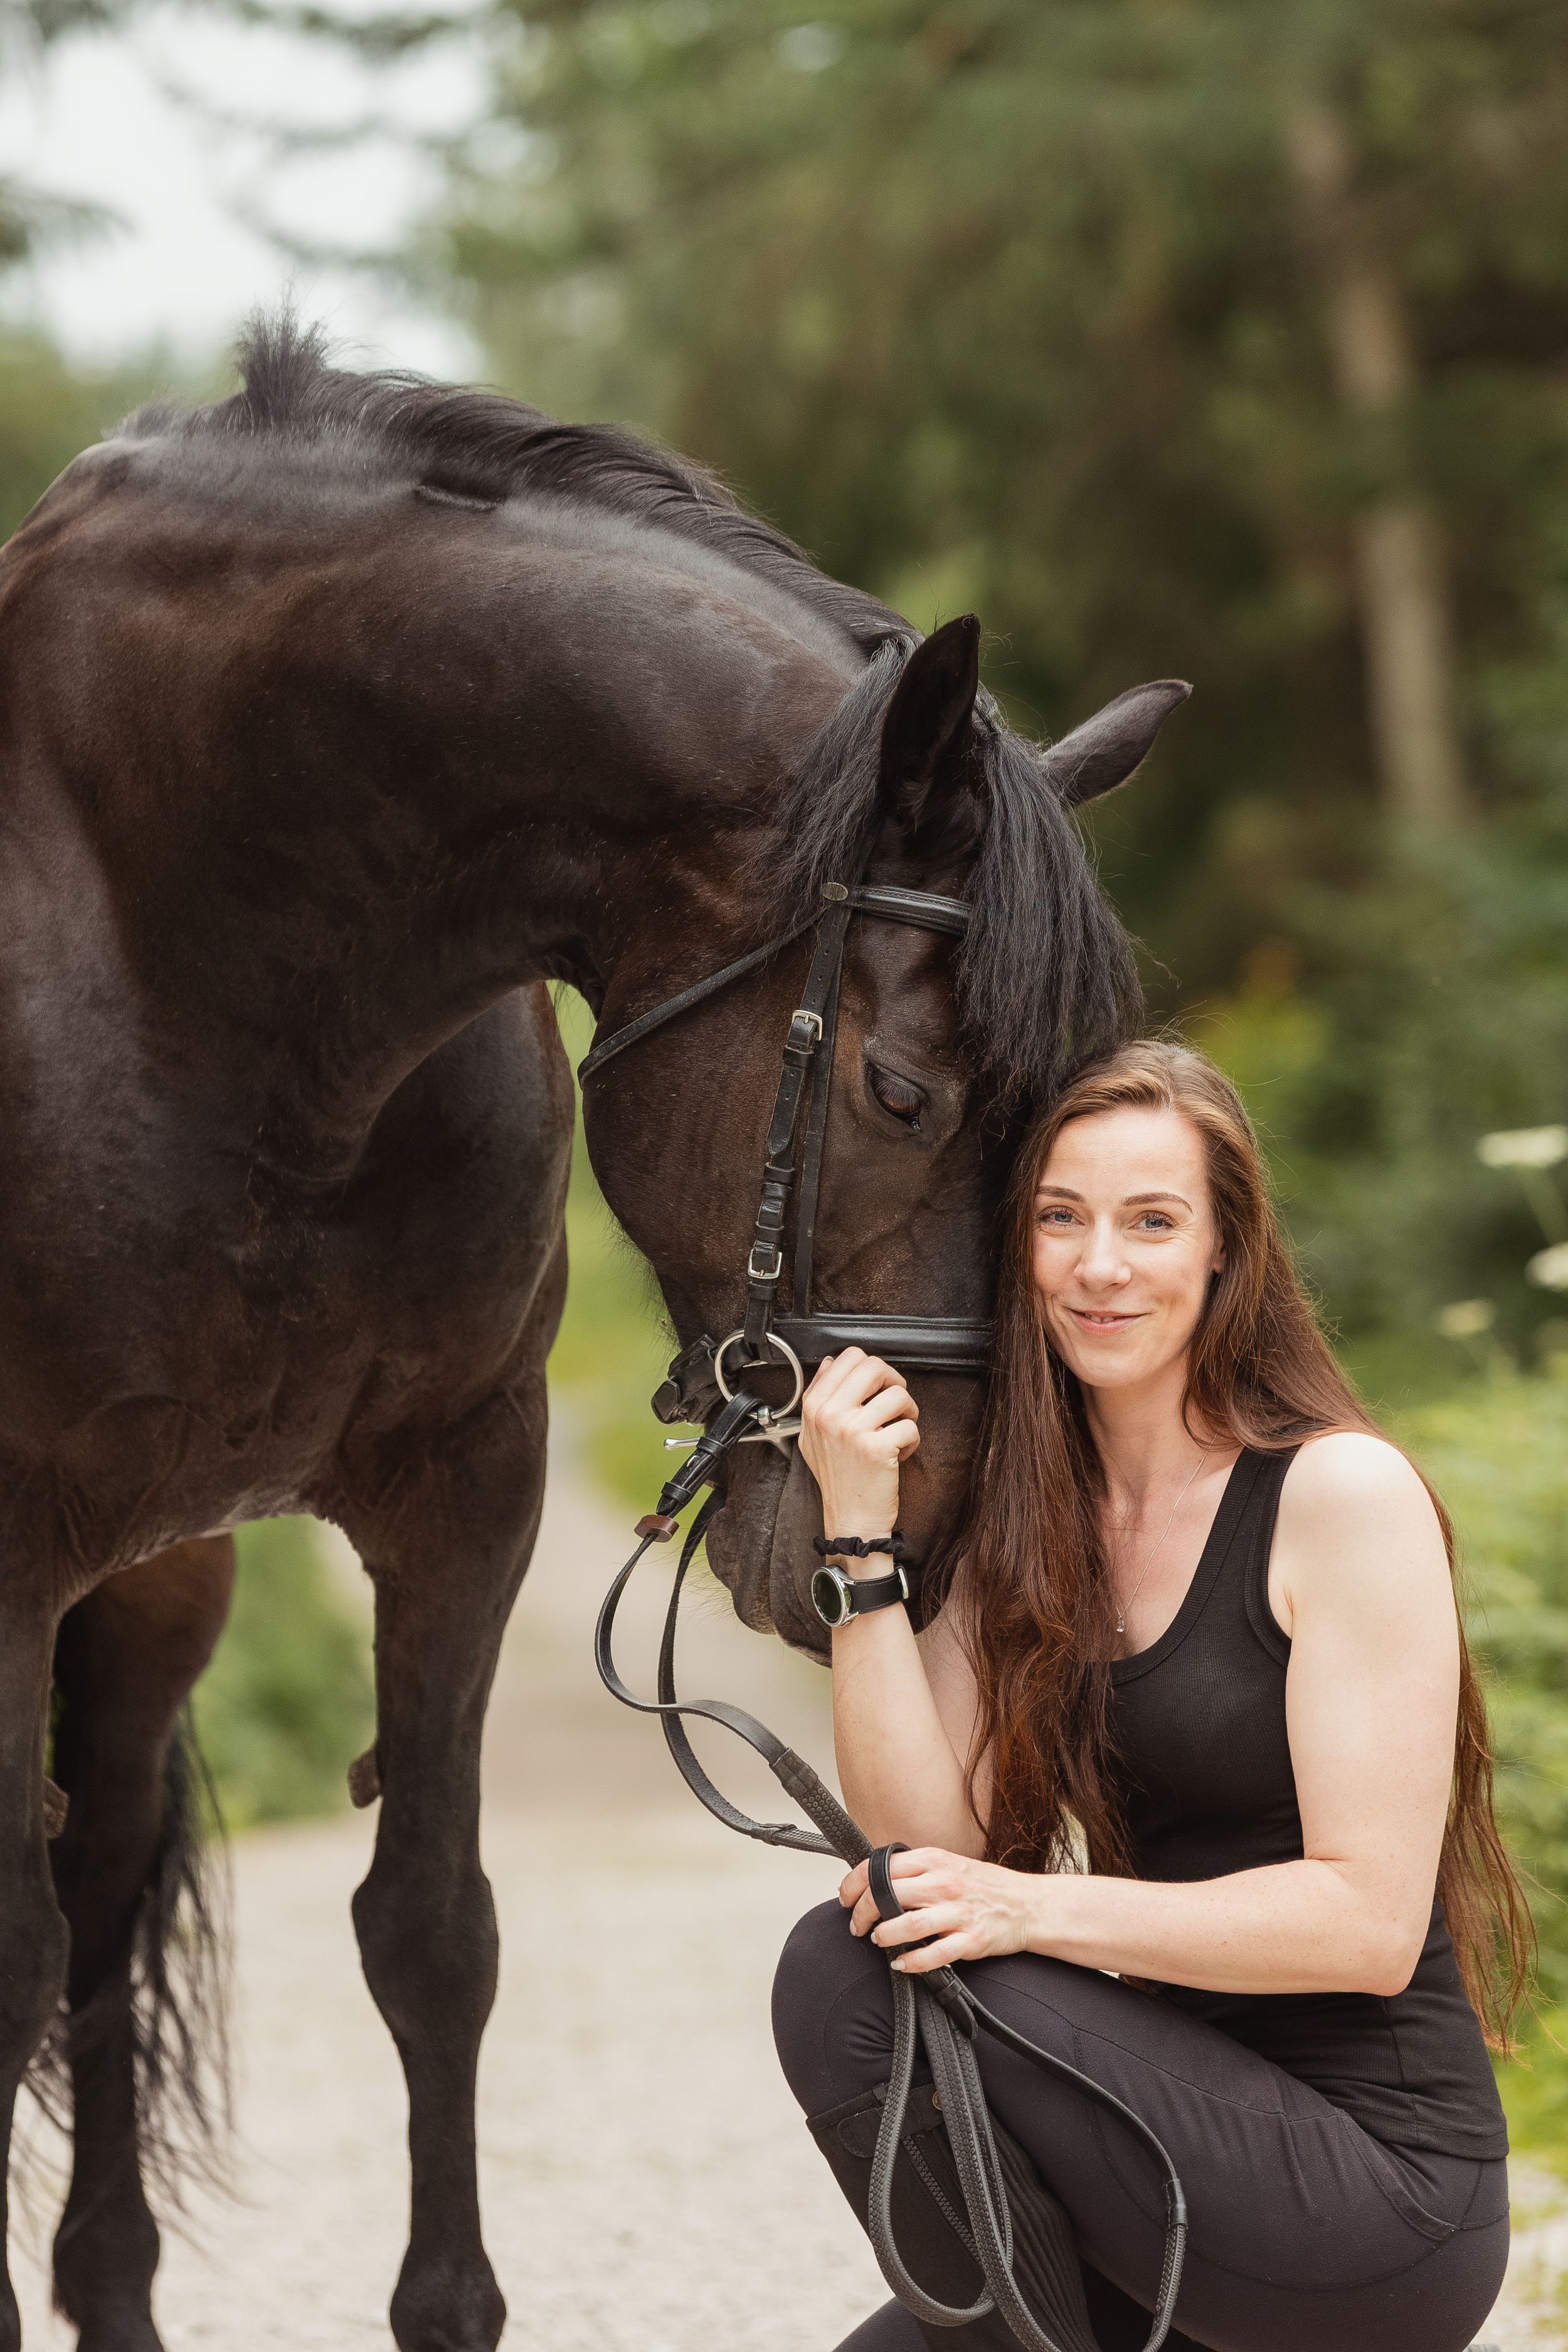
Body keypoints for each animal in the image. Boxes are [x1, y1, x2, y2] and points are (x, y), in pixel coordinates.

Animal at [0, 314, 1186, 2352]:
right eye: (897, 1088)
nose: (937, 1534)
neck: (188, 955)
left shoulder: (459, 1487)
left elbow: (430, 1930)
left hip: (157, 1585)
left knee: (103, 1870)